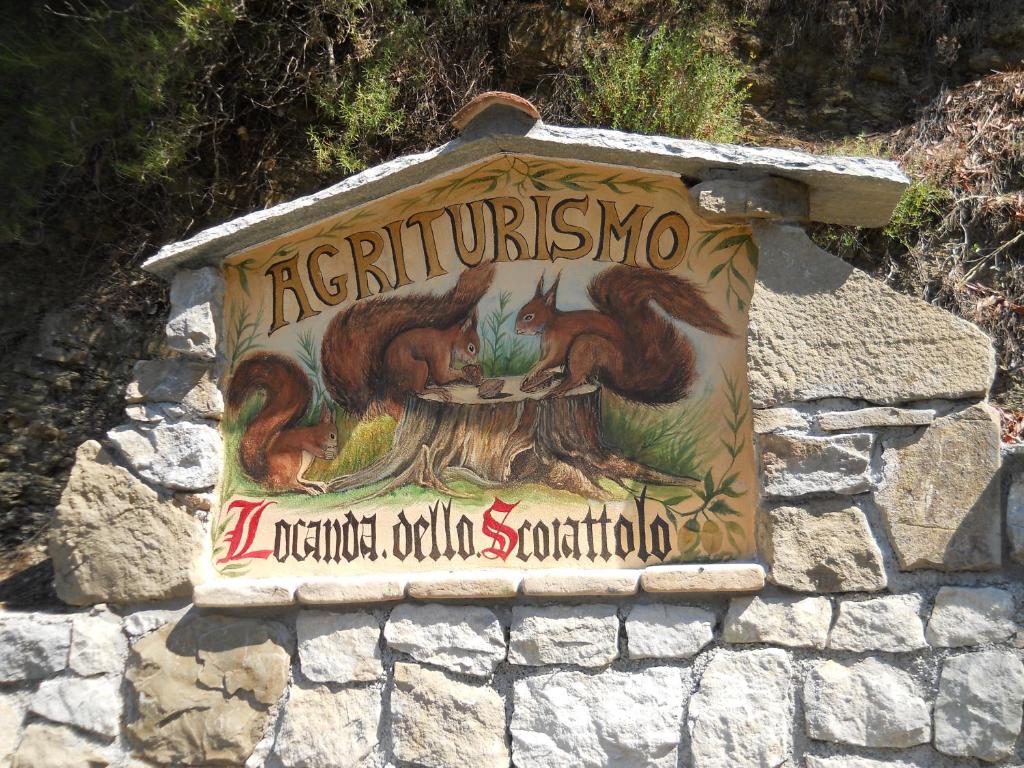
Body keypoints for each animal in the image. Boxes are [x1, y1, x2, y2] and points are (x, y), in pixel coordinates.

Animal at [226, 354, 337, 495]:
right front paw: (326, 454)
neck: (315, 432)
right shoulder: (306, 440)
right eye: (332, 435)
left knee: (298, 479)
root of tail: (266, 477)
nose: (336, 446)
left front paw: (332, 452)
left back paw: (318, 484)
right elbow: (313, 448)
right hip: (292, 459)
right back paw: (309, 490)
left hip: (304, 461)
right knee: (289, 483)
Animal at [321, 264, 493, 421]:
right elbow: (442, 375)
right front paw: (466, 373)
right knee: (418, 390)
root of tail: (386, 388)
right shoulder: (439, 351)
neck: (450, 342)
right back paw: (434, 390)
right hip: (418, 368)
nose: (474, 361)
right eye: (471, 348)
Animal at [516, 268, 733, 403]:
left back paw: (557, 390)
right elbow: (545, 360)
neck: (550, 326)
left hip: (586, 345)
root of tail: (622, 373)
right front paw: (532, 374)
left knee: (578, 377)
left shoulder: (562, 340)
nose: (517, 330)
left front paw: (533, 371)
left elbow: (553, 358)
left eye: (529, 316)